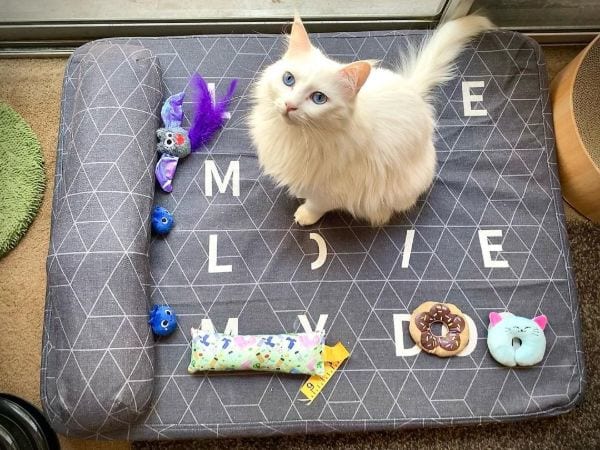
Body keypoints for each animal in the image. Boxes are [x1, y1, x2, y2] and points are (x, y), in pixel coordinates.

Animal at [248, 14, 492, 225]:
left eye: (319, 98)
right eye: (288, 79)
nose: (290, 105)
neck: (296, 137)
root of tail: (411, 89)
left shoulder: (334, 188)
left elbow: (317, 204)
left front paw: (305, 215)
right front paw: (299, 190)